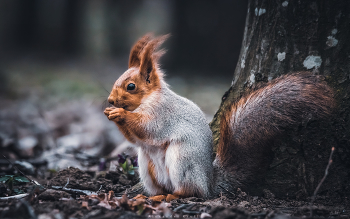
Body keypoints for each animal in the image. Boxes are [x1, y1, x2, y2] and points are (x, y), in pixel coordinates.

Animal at [103, 33, 334, 202]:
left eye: (131, 86)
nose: (111, 100)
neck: (148, 99)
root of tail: (209, 183)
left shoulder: (163, 113)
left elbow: (148, 128)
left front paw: (120, 113)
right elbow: (135, 138)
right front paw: (110, 113)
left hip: (182, 159)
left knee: (191, 191)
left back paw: (172, 196)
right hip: (146, 165)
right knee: (162, 186)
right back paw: (152, 196)